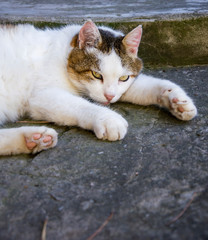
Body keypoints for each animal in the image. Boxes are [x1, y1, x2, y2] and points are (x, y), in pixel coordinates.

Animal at [0, 20, 197, 156]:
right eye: (96, 75)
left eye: (123, 78)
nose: (109, 97)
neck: (63, 56)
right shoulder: (42, 96)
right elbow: (80, 105)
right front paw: (108, 119)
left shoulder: (122, 89)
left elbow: (150, 85)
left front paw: (177, 101)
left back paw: (33, 139)